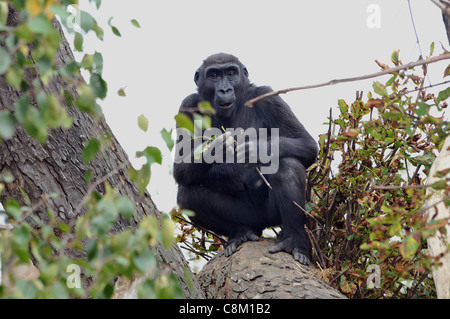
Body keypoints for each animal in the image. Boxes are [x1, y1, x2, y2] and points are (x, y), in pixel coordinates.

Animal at [174, 53, 318, 266]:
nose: (225, 89)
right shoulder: (187, 105)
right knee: (188, 195)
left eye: (231, 73)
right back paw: (240, 232)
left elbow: (306, 143)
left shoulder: (268, 96)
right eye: (214, 75)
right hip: (251, 219)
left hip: (271, 215)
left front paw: (256, 150)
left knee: (288, 166)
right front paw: (217, 147)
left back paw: (294, 241)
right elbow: (180, 166)